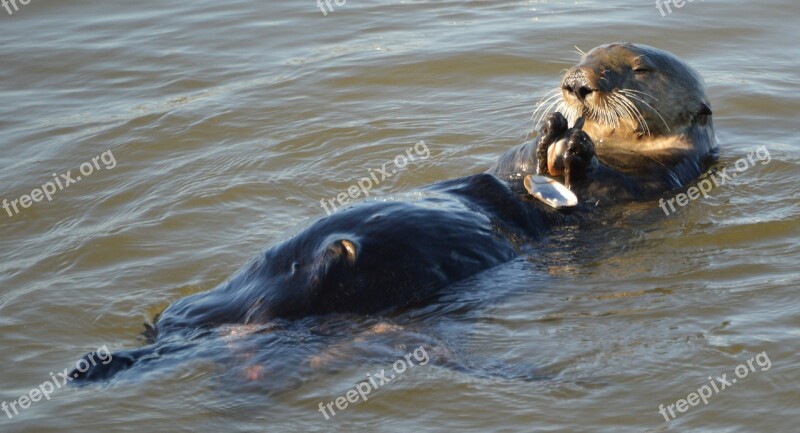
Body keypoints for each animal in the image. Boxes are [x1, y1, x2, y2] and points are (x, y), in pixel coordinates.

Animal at [72, 44, 716, 380]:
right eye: (585, 56)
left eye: (638, 69)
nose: (575, 83)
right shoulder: (512, 159)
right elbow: (513, 163)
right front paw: (550, 134)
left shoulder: (661, 180)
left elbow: (609, 185)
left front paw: (573, 153)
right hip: (209, 302)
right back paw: (104, 359)